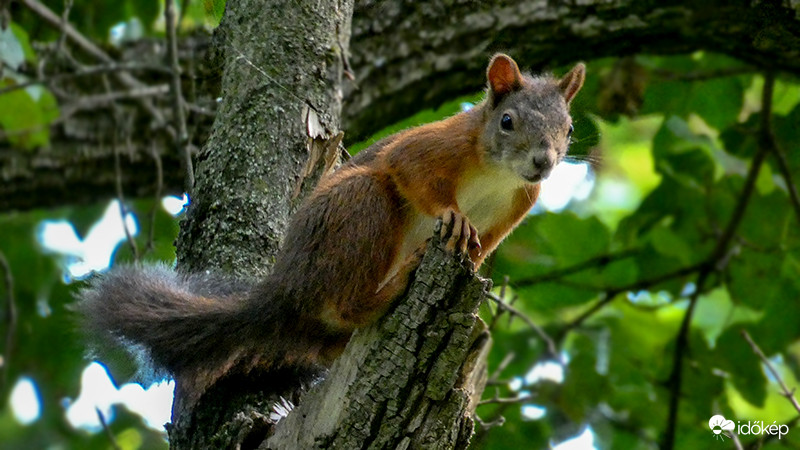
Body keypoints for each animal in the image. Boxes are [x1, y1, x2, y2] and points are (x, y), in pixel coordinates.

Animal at [78, 54, 584, 416]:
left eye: (569, 128)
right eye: (508, 121)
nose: (544, 163)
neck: (498, 173)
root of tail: (287, 290)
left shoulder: (517, 206)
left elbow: (485, 244)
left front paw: (474, 257)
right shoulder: (438, 145)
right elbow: (408, 168)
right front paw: (453, 217)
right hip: (359, 207)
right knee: (348, 300)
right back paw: (392, 286)